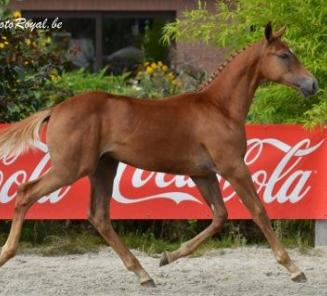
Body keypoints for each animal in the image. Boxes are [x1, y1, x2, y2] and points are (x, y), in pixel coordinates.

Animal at [0, 23, 318, 286]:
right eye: (284, 55)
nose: (313, 84)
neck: (219, 108)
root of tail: (56, 109)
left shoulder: (203, 174)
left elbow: (220, 216)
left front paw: (167, 257)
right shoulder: (233, 167)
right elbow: (258, 211)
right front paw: (294, 269)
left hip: (103, 167)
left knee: (99, 216)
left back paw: (143, 274)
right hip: (72, 167)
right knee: (25, 192)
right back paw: (7, 253)